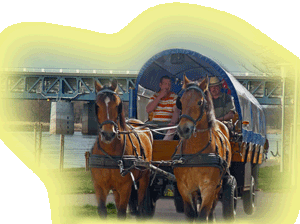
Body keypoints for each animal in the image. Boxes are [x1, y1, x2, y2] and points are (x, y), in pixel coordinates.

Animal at [91, 80, 152, 219]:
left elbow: (121, 212)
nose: (108, 134)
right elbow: (102, 211)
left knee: (141, 204)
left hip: (144, 178)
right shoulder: (99, 187)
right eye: (97, 105)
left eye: (118, 105)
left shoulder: (125, 187)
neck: (111, 155)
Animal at [173, 75, 232, 222]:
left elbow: (203, 214)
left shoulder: (209, 187)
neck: (195, 155)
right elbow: (190, 214)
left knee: (212, 208)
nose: (183, 129)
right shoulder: (184, 188)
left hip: (218, 185)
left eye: (200, 102)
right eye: (181, 102)